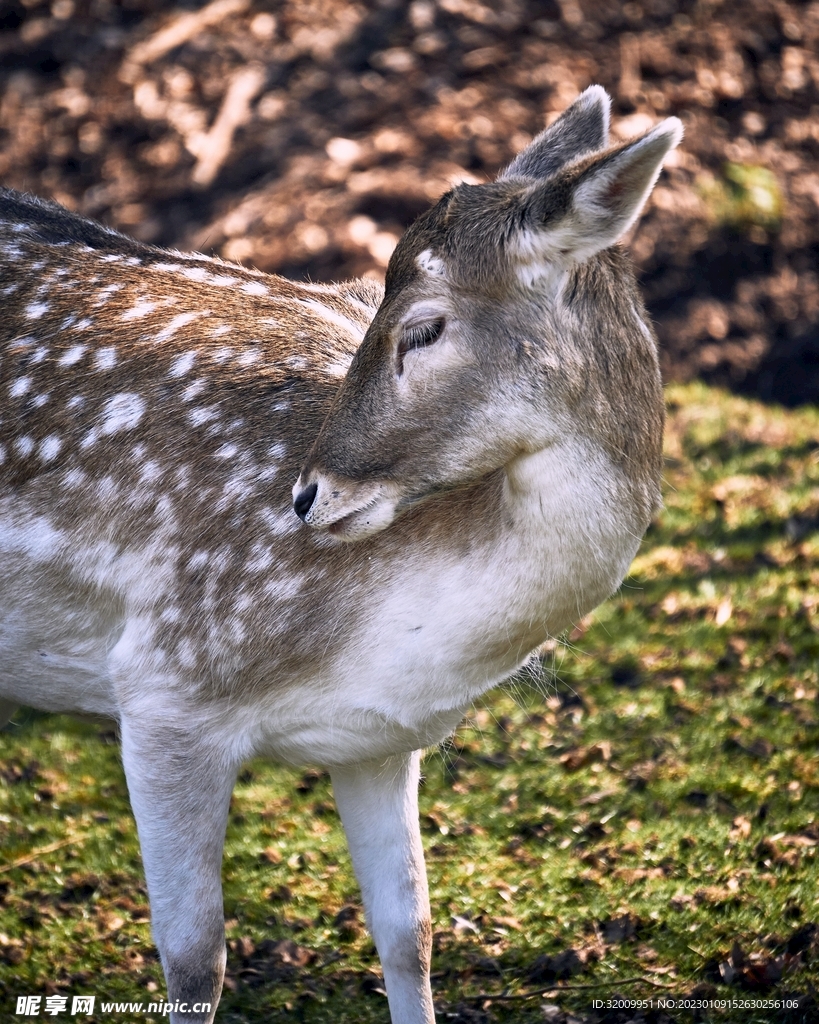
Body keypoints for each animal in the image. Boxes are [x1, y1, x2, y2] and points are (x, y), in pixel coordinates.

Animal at [0, 86, 681, 1023]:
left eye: (422, 328)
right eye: (366, 293)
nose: (307, 495)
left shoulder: (380, 741)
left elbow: (410, 933)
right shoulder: (164, 687)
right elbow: (195, 962)